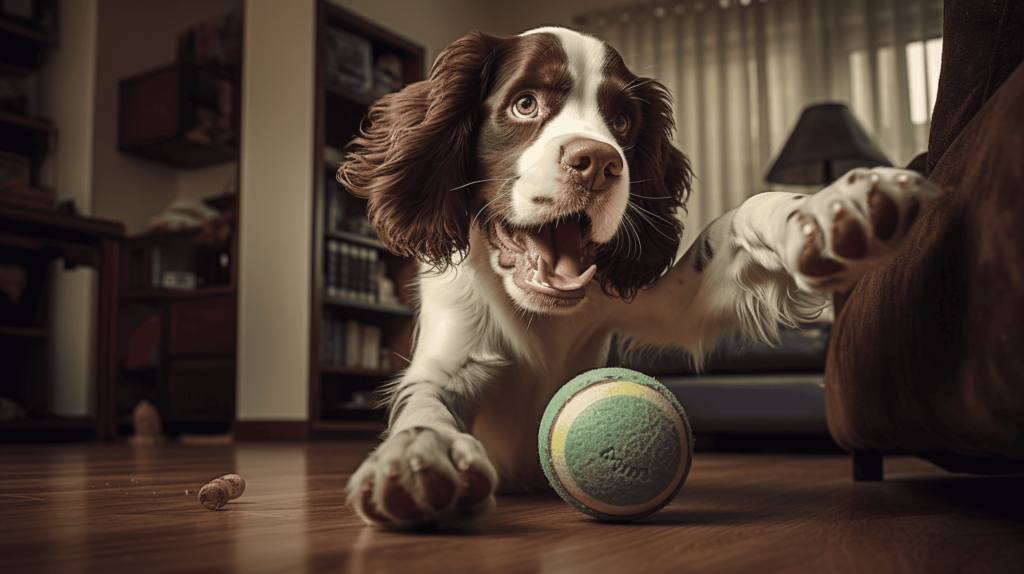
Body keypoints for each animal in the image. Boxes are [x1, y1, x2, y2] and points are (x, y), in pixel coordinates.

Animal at [335, 26, 937, 527]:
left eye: (622, 121)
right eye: (525, 103)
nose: (598, 163)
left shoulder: (658, 302)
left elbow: (736, 219)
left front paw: (827, 209)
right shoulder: (450, 359)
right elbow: (425, 402)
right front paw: (419, 457)